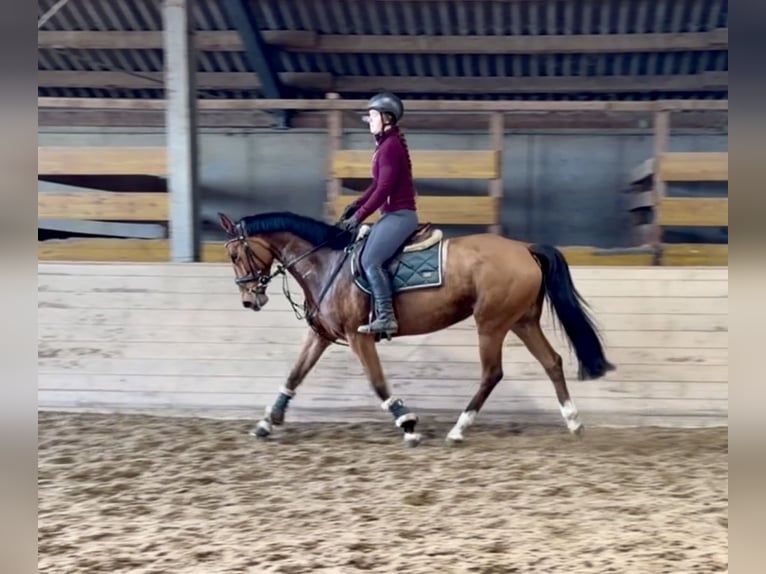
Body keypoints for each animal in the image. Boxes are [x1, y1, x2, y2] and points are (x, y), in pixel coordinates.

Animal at [218, 210, 616, 447]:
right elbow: (295, 374)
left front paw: (407, 423)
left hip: (491, 324)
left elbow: (377, 383)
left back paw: (459, 429)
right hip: (521, 321)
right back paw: (573, 421)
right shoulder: (322, 335)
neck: (326, 263)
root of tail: (524, 249)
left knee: (492, 373)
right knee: (552, 362)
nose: (250, 300)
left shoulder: (359, 336)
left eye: (235, 255)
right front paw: (268, 421)